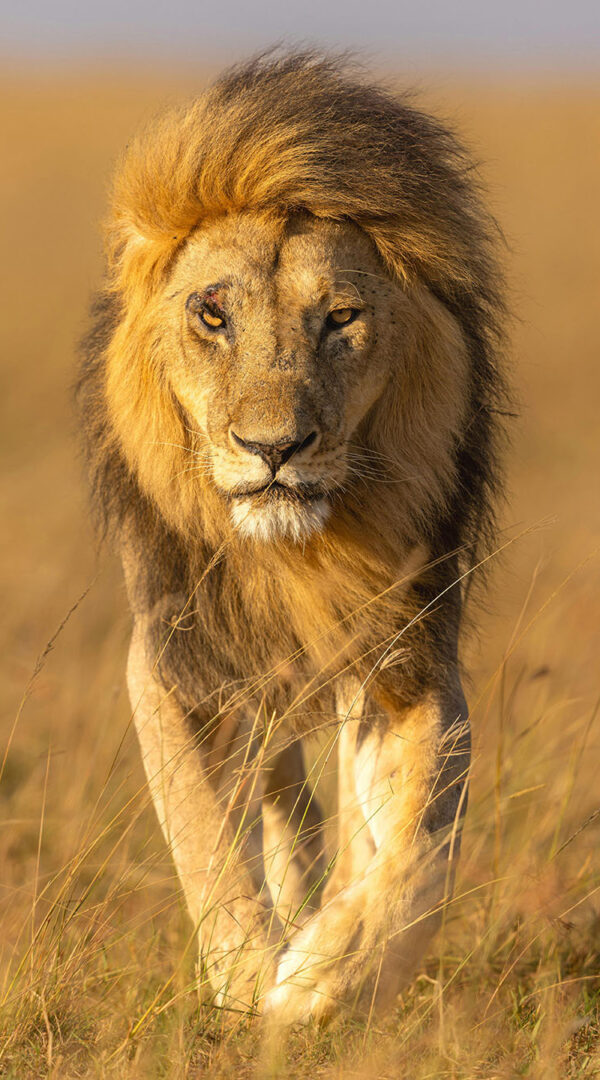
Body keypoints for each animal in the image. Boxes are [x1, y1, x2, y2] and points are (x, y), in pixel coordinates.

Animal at [76, 50, 508, 1025]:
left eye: (340, 318)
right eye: (211, 314)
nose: (273, 448)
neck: (295, 556)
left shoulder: (410, 662)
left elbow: (419, 847)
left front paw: (322, 979)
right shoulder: (177, 662)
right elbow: (204, 839)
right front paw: (247, 980)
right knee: (281, 808)